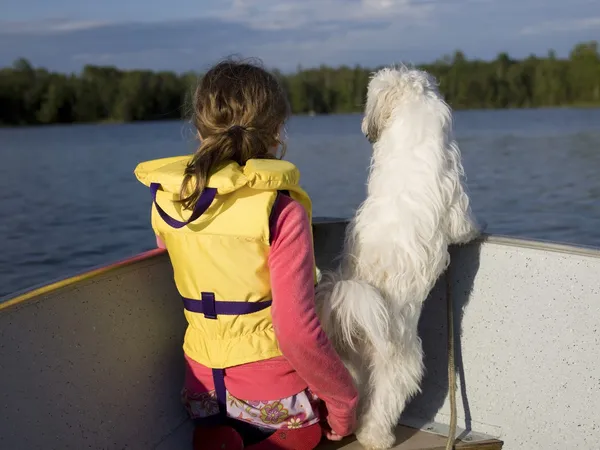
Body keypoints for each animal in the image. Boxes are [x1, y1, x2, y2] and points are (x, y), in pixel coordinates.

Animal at [316, 65, 480, 448]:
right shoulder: (455, 192)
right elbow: (462, 223)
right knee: (384, 402)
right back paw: (377, 437)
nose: (365, 129)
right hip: (400, 363)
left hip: (349, 364)